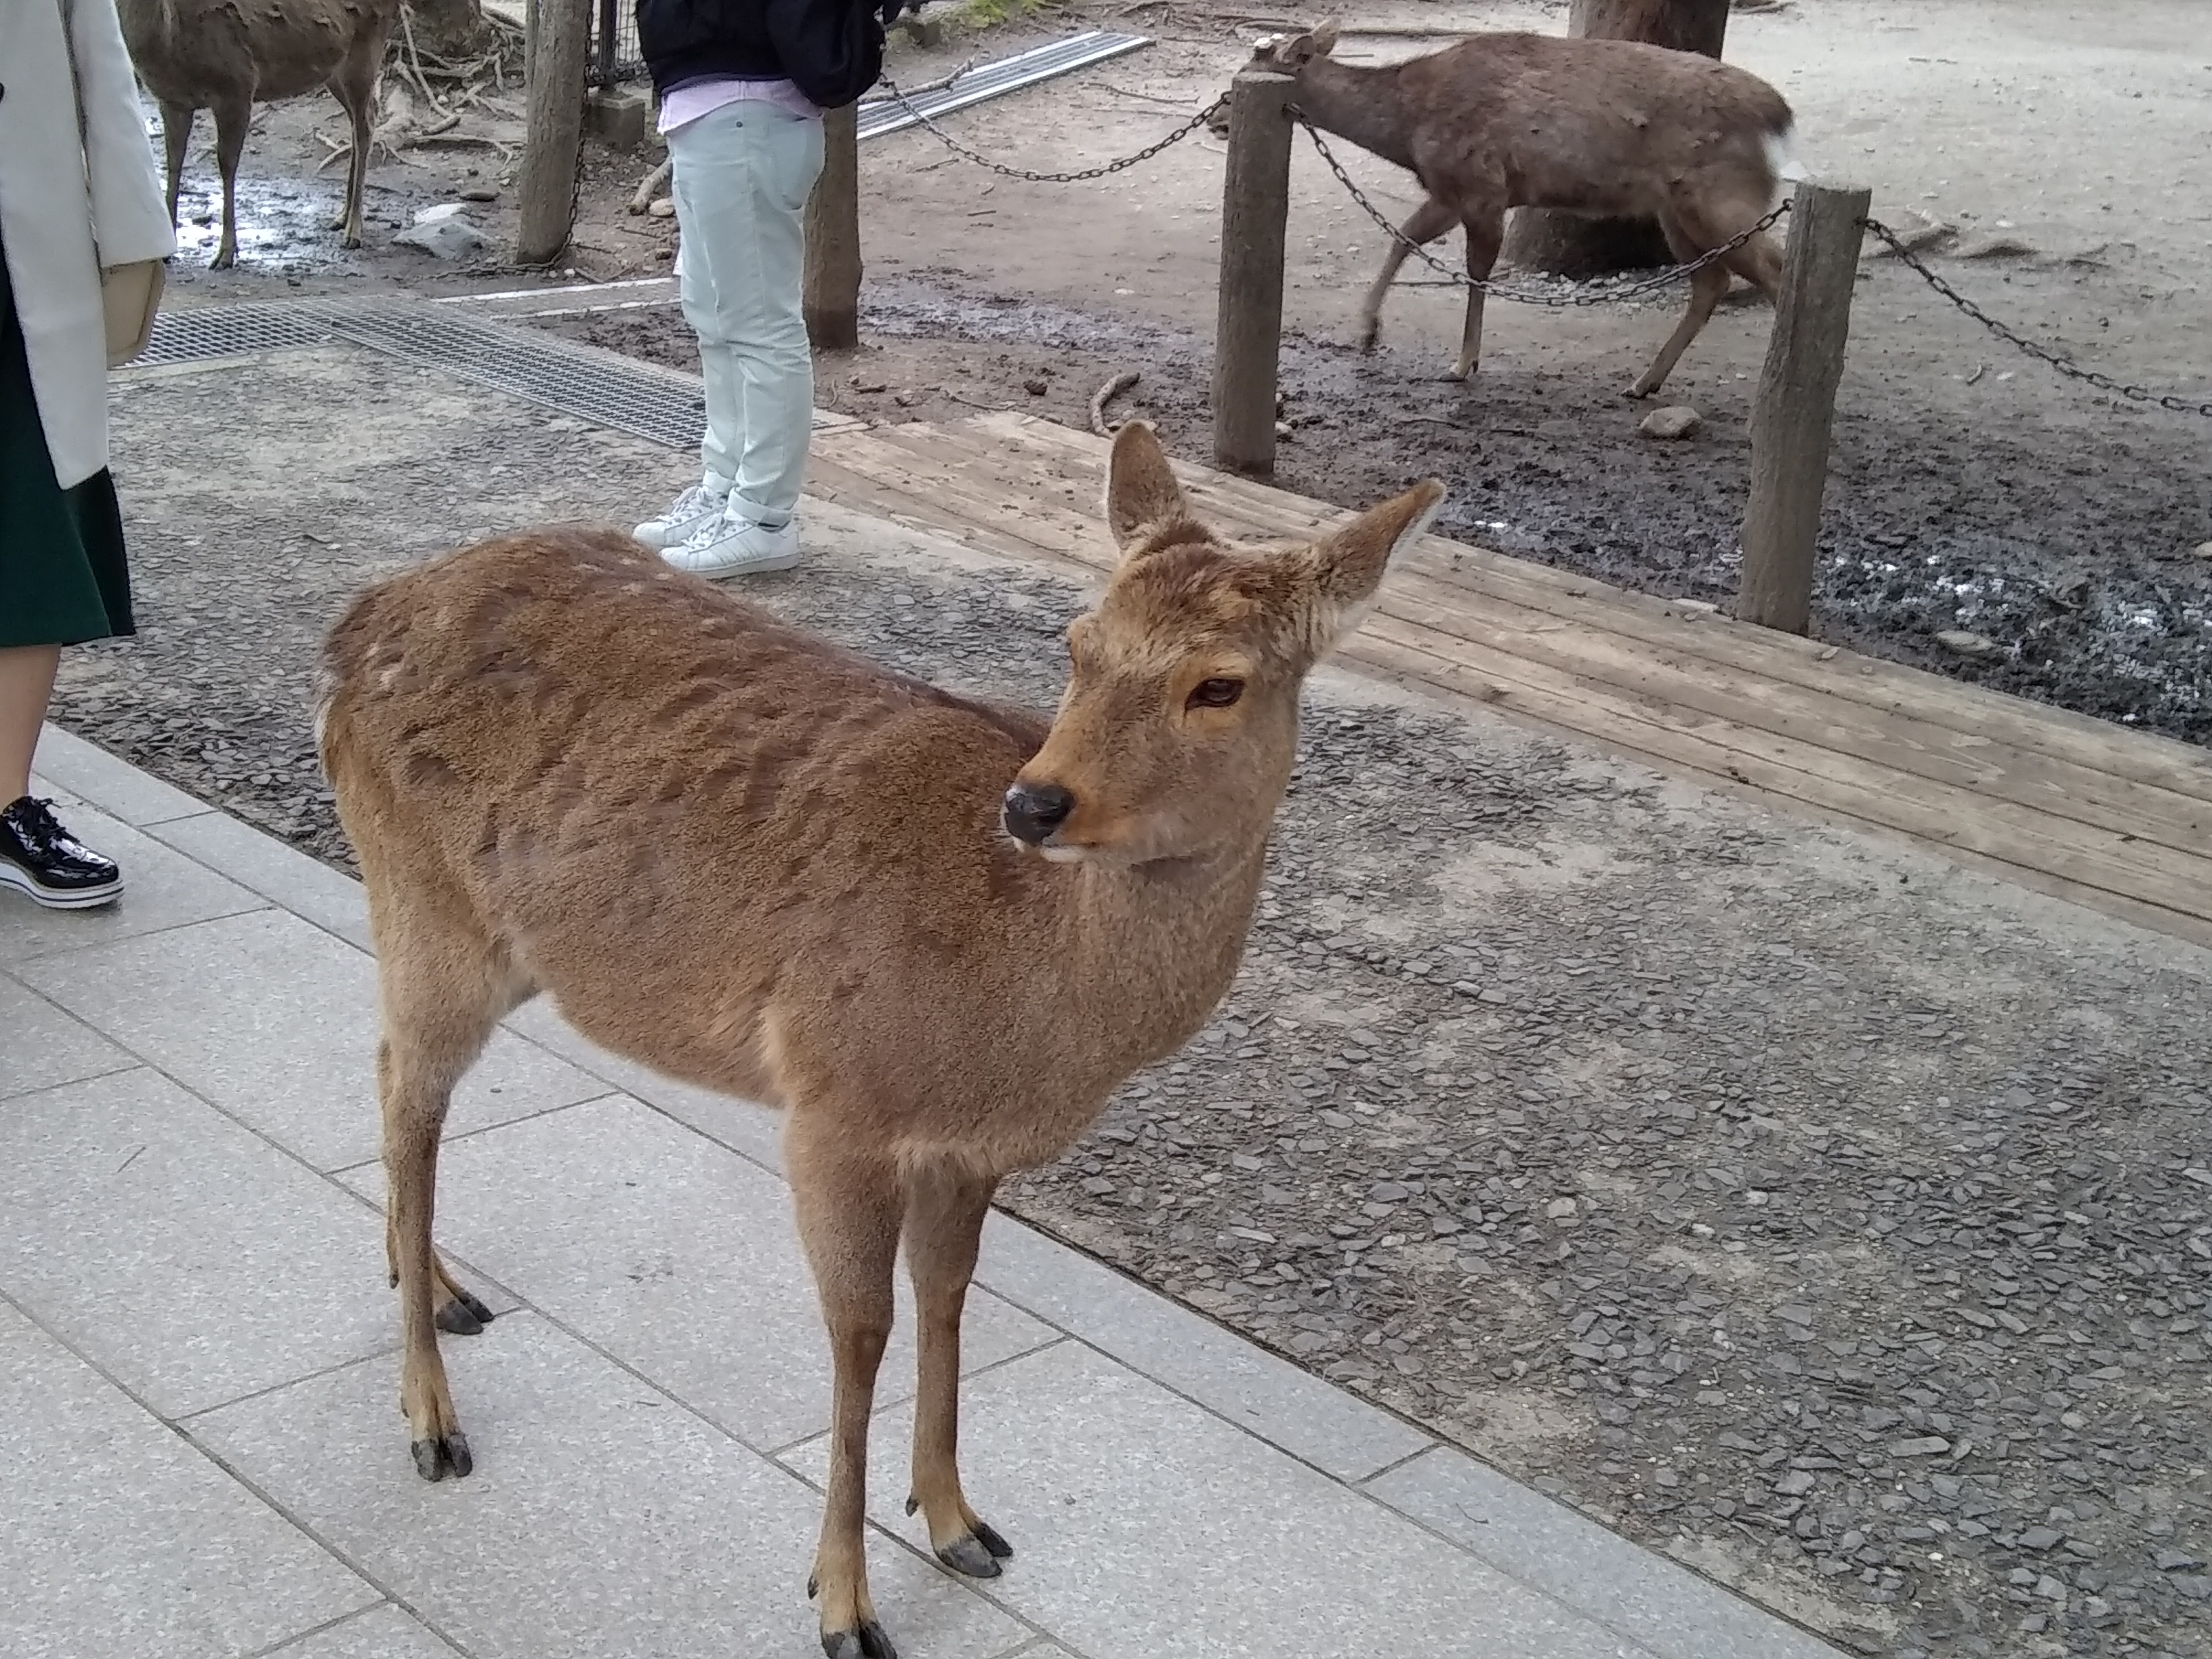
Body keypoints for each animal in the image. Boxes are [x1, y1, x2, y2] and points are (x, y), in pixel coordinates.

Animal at [116, 0, 401, 268]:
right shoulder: (172, 100)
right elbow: (173, 164)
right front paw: (167, 250)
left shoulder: (238, 84)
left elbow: (227, 166)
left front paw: (226, 254)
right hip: (334, 71)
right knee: (360, 120)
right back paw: (341, 217)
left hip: (365, 52)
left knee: (366, 125)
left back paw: (354, 231)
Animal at [316, 421, 1445, 1659]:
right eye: (1077, 643)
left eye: (1220, 684)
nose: (1034, 804)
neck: (1031, 1019)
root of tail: (354, 623)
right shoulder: (834, 1105)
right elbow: (861, 1332)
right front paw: (844, 1605)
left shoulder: (967, 1148)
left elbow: (948, 1299)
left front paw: (957, 1522)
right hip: (428, 908)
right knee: (408, 1094)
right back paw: (431, 1419)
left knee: (386, 1076)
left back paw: (434, 1285)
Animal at [1226, 20, 1796, 398]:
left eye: (1244, 75)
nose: (1216, 117)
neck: (1408, 128)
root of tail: (1779, 115)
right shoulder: (1450, 191)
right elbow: (1404, 237)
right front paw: (1367, 331)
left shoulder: (1482, 185)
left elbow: (1476, 271)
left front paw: (1462, 363)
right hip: (1676, 211)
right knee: (1713, 282)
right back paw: (1645, 382)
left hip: (1721, 196)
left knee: (1773, 268)